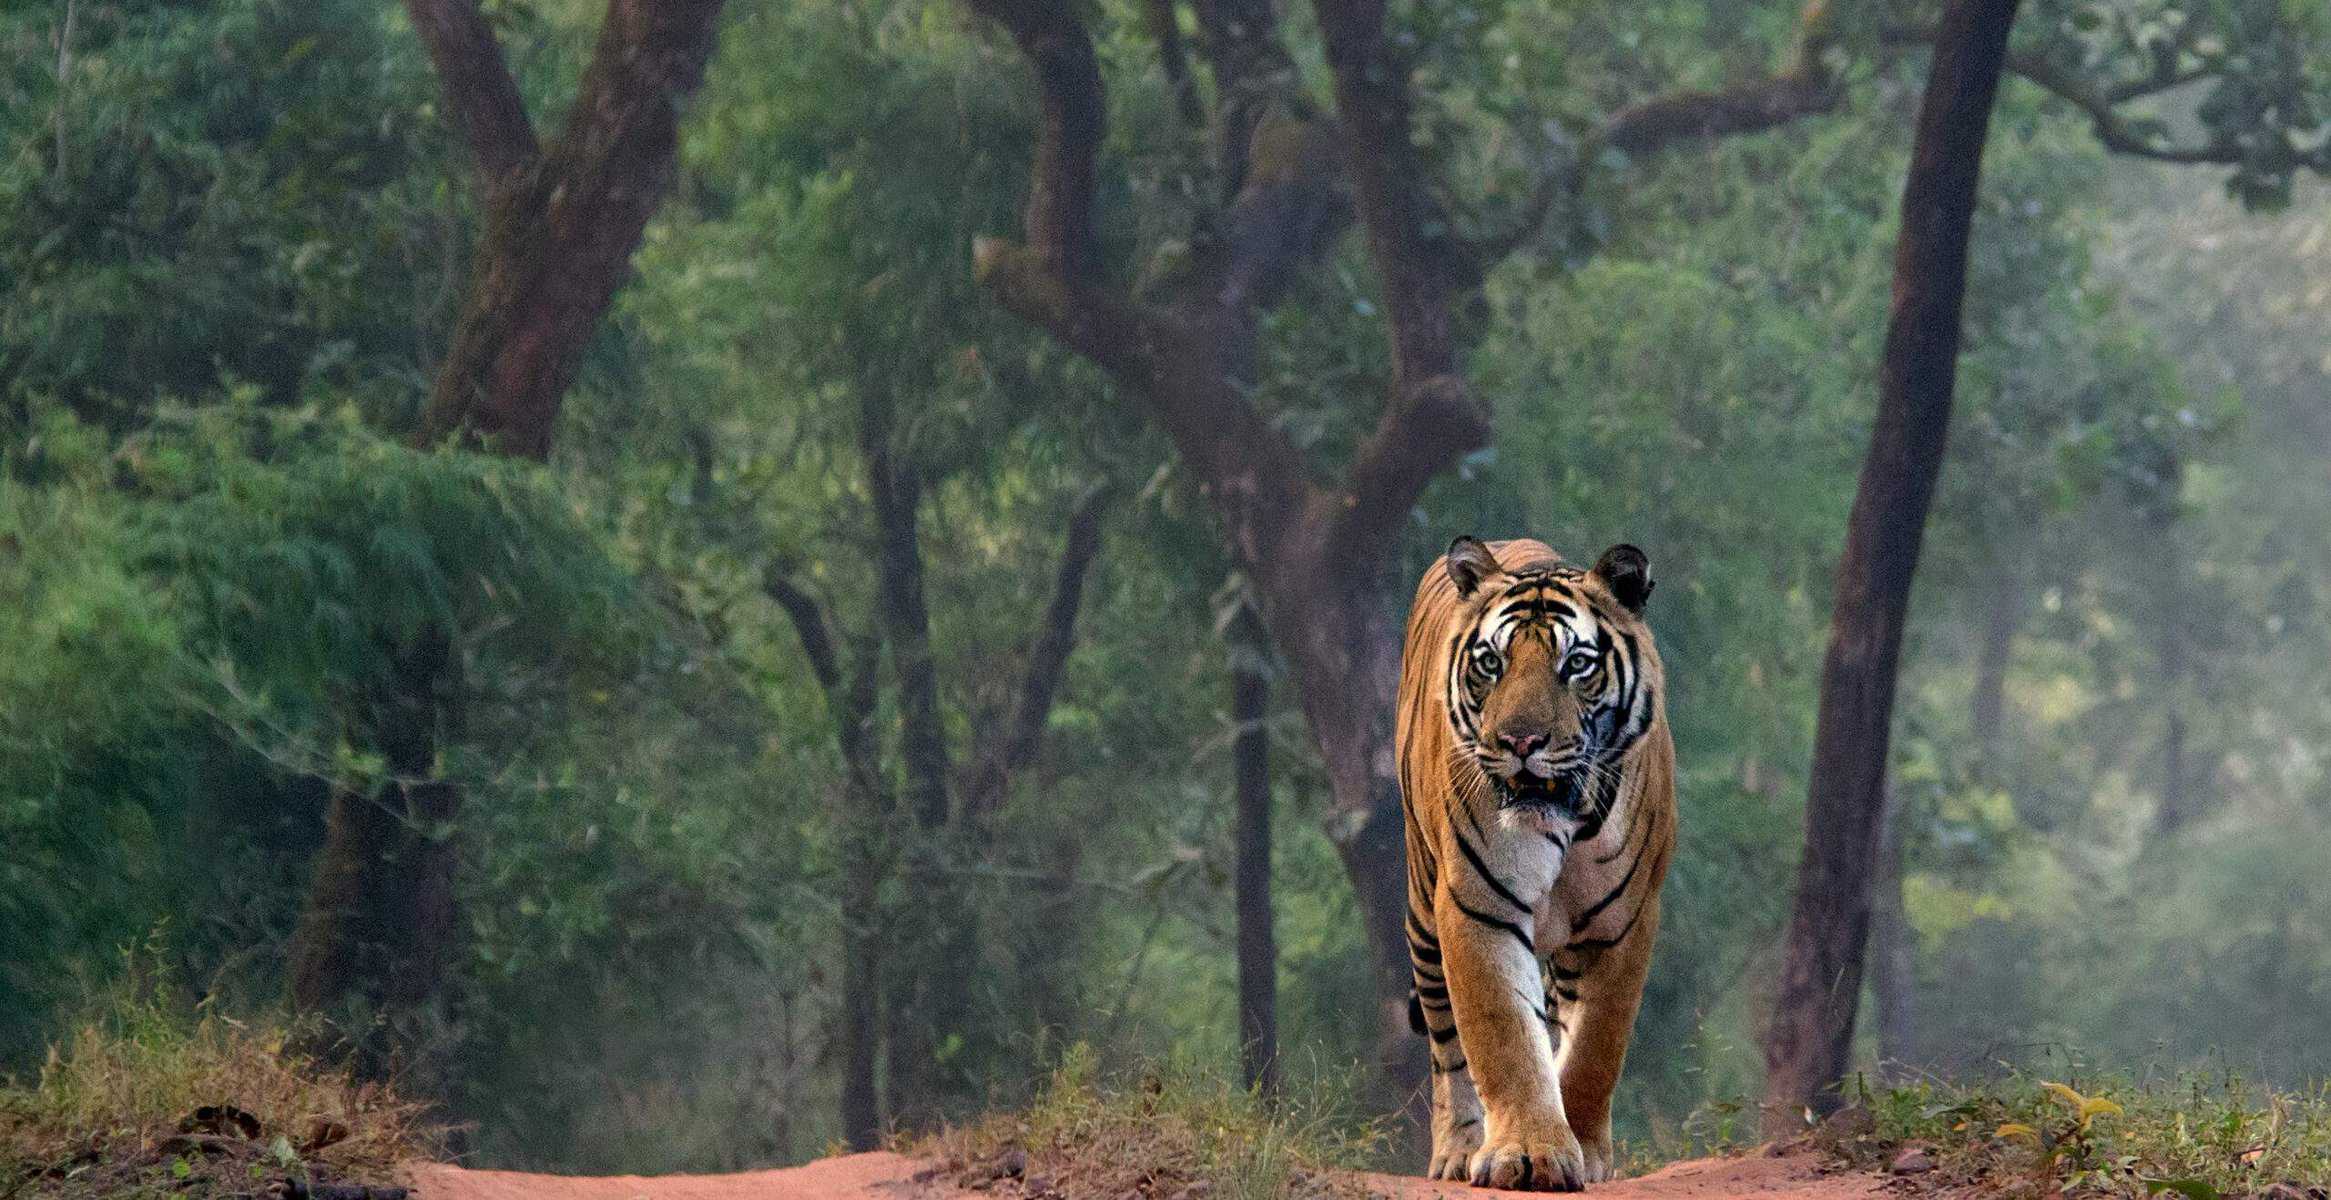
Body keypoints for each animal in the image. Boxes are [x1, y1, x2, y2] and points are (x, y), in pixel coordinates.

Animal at [1396, 536, 1674, 1192]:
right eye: (1490, 664)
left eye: (1576, 664)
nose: (1520, 742)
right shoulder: (1478, 908)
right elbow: (1503, 1037)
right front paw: (1528, 1155)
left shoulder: (1621, 925)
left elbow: (1595, 1048)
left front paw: (1585, 1152)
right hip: (1423, 910)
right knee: (1448, 1046)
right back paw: (1458, 1149)